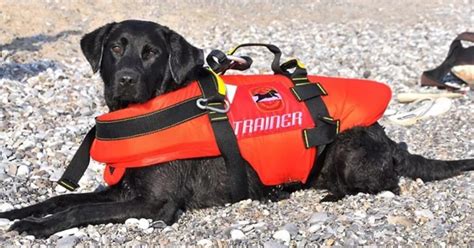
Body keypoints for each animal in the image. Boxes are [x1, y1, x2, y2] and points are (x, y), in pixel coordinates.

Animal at [0, 20, 474, 237]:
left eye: (152, 52)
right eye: (116, 47)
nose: (127, 79)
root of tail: (389, 139)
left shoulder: (153, 203)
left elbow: (77, 210)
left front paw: (39, 228)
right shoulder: (121, 190)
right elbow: (61, 200)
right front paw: (22, 213)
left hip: (350, 150)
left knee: (383, 182)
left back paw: (326, 191)